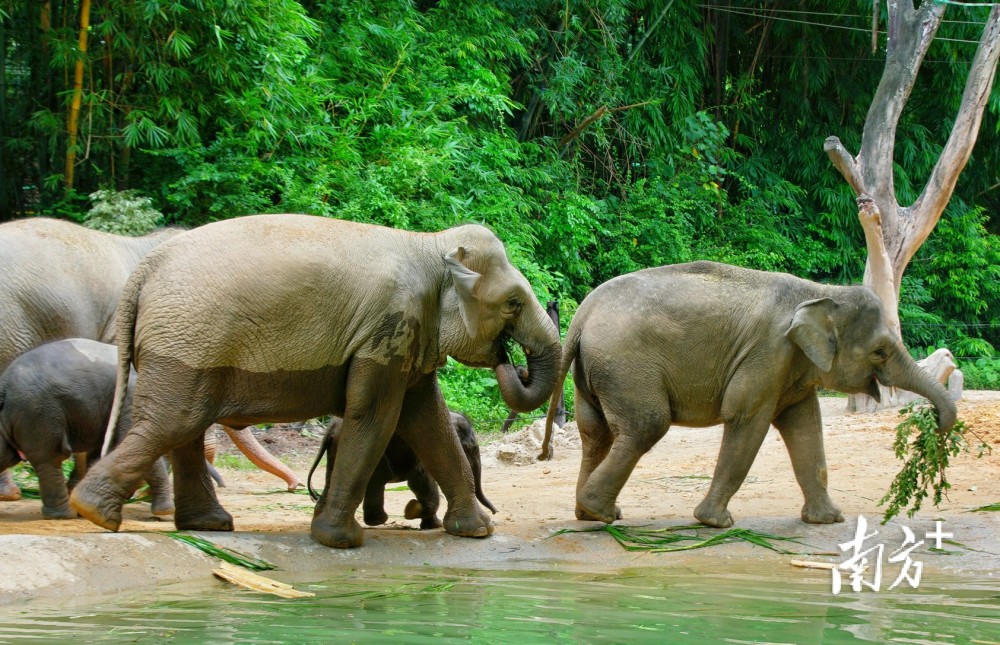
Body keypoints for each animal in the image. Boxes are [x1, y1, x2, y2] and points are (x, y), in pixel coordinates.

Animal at [0, 339, 174, 519]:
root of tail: (4, 384)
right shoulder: (130, 399)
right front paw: (166, 511)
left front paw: (86, 508)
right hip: (39, 413)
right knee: (49, 458)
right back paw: (63, 515)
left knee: (7, 454)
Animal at [306, 411, 497, 529]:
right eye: (471, 449)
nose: (496, 512)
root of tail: (331, 426)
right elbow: (420, 479)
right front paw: (411, 511)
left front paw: (431, 526)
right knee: (377, 478)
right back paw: (378, 521)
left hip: (335, 449)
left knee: (332, 478)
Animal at [539, 260, 957, 529]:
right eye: (879, 352)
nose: (935, 421)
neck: (820, 294)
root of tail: (582, 315)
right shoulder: (769, 353)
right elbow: (746, 420)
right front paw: (715, 523)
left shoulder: (791, 367)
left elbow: (806, 426)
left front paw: (828, 520)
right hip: (625, 365)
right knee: (645, 426)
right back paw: (601, 513)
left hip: (593, 372)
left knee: (596, 433)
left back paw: (589, 514)